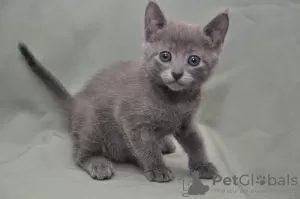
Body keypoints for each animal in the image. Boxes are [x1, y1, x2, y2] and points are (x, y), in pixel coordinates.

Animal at [18, 0, 230, 183]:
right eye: (165, 56)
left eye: (194, 60)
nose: (177, 74)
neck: (174, 99)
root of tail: (76, 101)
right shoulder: (131, 121)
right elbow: (145, 146)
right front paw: (157, 168)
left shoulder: (187, 122)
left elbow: (196, 143)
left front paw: (202, 165)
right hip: (92, 122)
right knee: (80, 154)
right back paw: (97, 162)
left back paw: (164, 142)